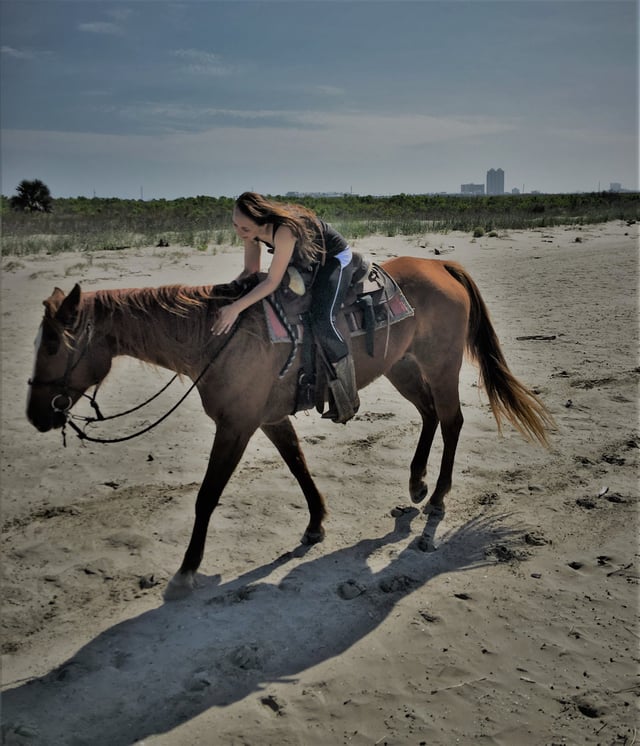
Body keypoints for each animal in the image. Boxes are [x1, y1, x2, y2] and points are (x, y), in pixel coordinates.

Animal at [26, 257, 554, 599]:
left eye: (52, 343)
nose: (35, 415)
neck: (215, 337)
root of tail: (443, 266)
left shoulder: (236, 426)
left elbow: (207, 496)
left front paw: (186, 572)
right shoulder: (269, 420)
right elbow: (299, 466)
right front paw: (316, 524)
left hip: (440, 365)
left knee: (451, 421)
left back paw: (438, 499)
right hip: (402, 366)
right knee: (428, 416)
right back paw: (417, 483)